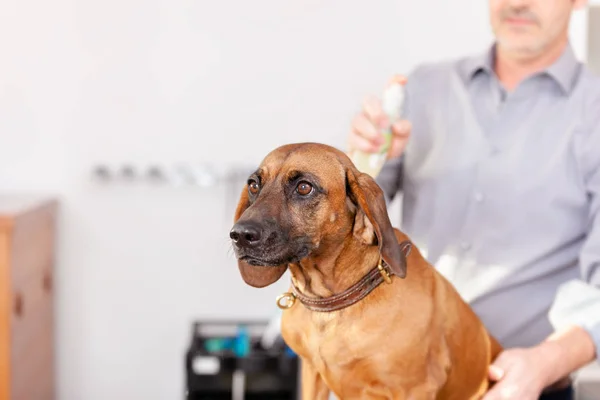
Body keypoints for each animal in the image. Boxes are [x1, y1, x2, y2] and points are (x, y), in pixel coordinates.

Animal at [230, 143, 502, 400]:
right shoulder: (312, 374)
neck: (331, 303)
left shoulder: (414, 389)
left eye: (304, 187)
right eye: (254, 185)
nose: (239, 235)